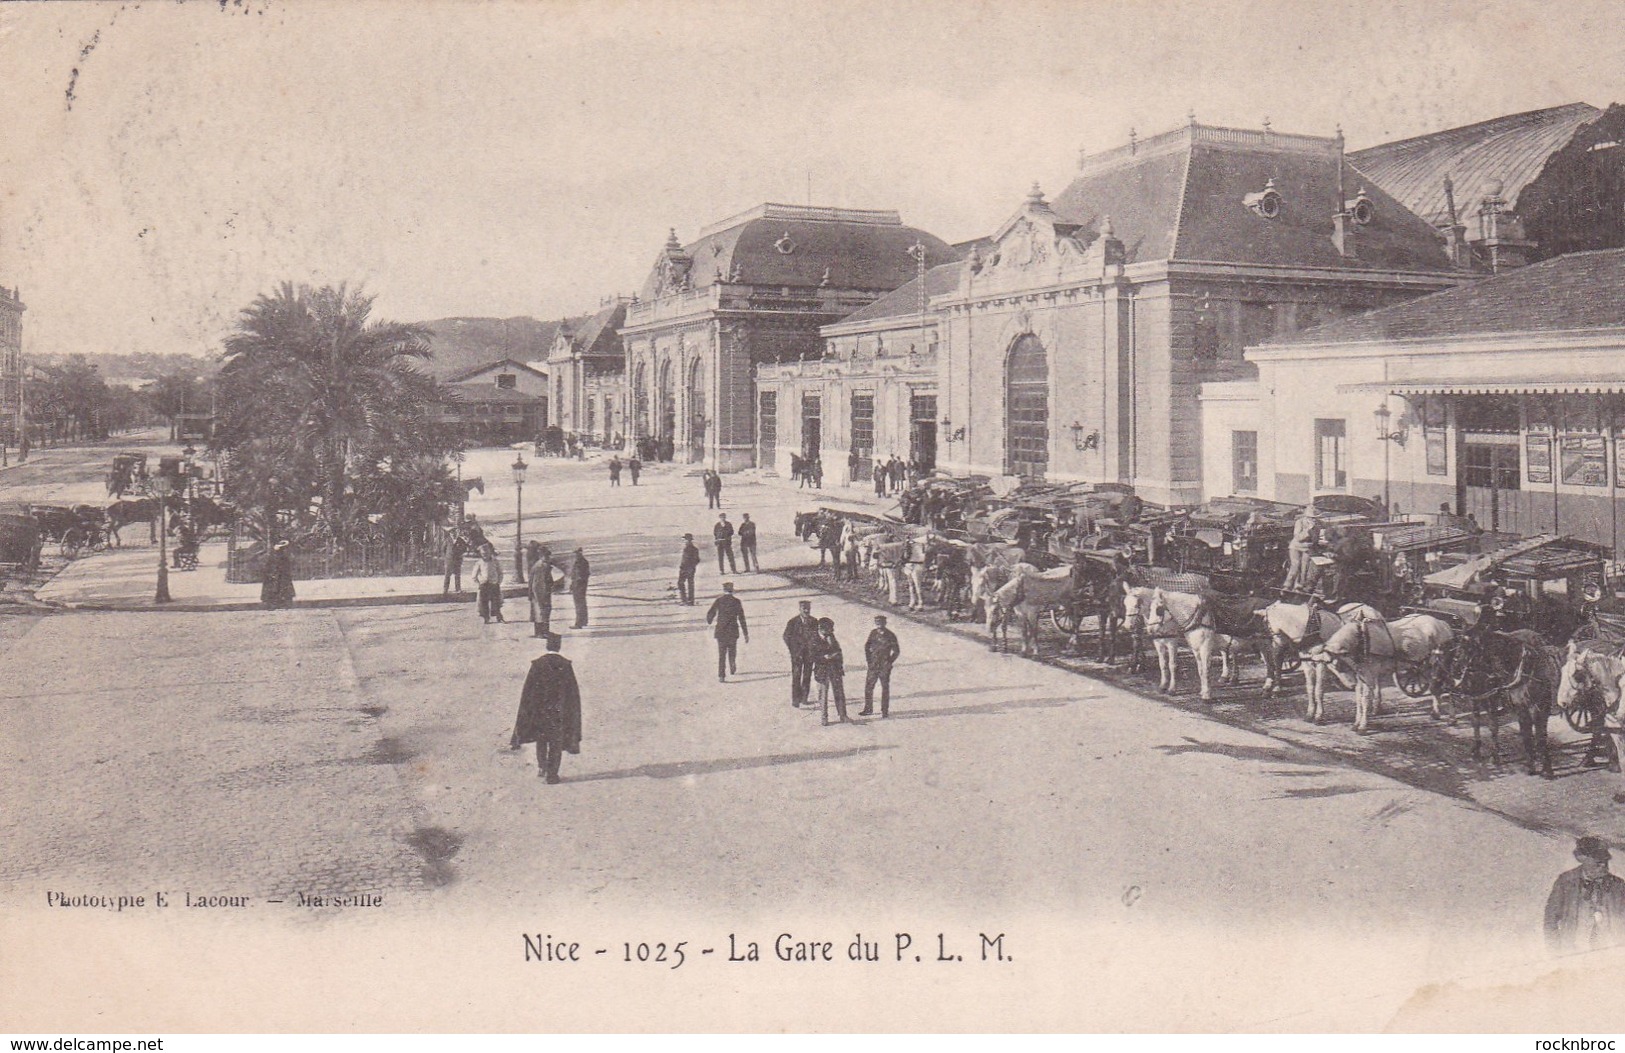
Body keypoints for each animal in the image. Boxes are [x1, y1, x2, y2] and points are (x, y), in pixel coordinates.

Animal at [1319, 607, 1462, 731]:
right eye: (1330, 666)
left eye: (1336, 664)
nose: (1349, 684)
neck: (1361, 638)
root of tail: (1444, 624)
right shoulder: (1361, 675)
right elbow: (1359, 698)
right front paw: (1356, 724)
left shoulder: (1369, 674)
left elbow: (1365, 699)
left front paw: (1362, 727)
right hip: (1426, 665)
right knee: (1434, 686)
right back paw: (1436, 713)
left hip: (1443, 664)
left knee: (1448, 685)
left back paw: (1452, 719)